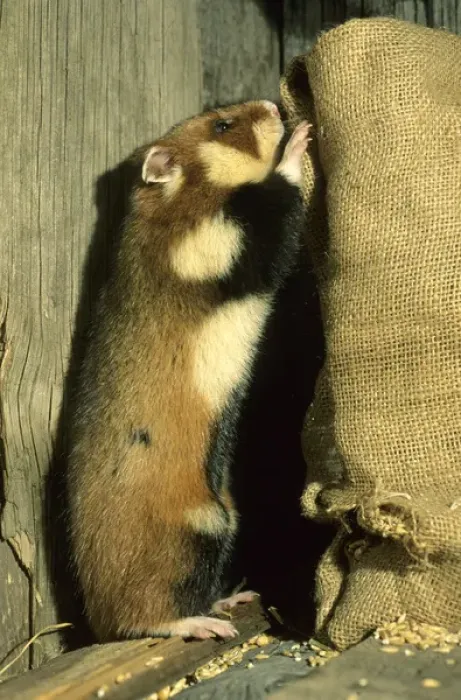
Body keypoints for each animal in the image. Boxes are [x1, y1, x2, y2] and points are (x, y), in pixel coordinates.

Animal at [67, 100, 311, 641]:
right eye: (222, 125)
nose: (272, 105)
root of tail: (94, 620)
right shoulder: (228, 241)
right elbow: (281, 196)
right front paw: (299, 139)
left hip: (225, 519)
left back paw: (233, 599)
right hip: (197, 530)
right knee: (146, 617)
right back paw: (205, 626)